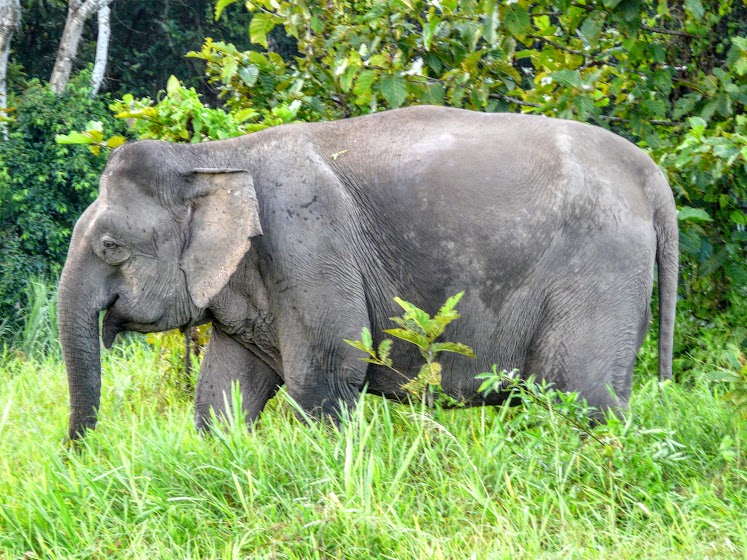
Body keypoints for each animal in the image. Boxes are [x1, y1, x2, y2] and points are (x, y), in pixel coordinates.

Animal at [58, 103, 676, 440]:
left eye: (112, 247)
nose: (78, 456)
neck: (211, 155)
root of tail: (651, 175)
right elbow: (224, 392)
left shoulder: (306, 240)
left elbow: (328, 374)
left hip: (599, 268)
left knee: (581, 394)